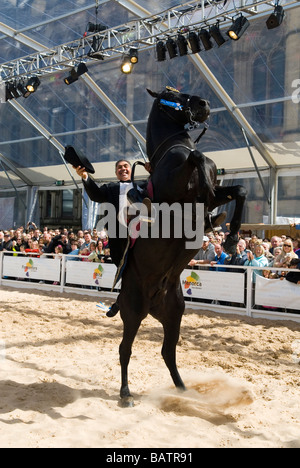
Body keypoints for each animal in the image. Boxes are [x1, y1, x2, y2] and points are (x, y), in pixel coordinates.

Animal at [117, 87, 246, 406]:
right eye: (170, 93)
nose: (204, 103)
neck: (177, 150)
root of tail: (153, 301)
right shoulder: (178, 193)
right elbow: (198, 159)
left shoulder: (216, 192)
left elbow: (238, 190)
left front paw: (231, 237)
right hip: (133, 312)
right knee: (125, 350)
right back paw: (125, 393)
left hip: (174, 313)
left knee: (167, 351)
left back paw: (184, 390)